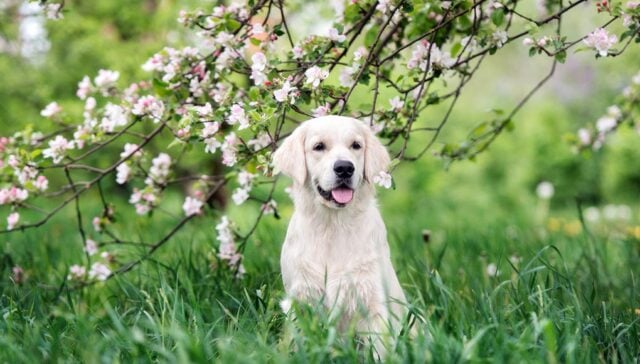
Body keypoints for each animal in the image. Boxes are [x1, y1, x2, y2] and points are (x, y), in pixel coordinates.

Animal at [272, 116, 408, 356]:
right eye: (319, 147)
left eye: (356, 145)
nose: (344, 168)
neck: (332, 225)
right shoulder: (301, 298)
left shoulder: (372, 301)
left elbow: (380, 350)